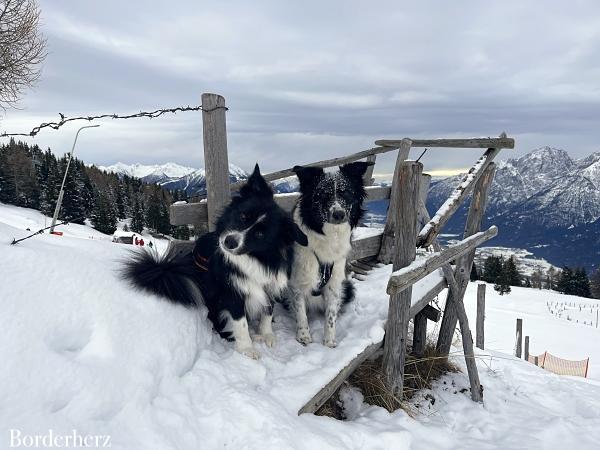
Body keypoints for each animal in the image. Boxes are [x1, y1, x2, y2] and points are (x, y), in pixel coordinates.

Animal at [290, 162, 370, 348]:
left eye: (346, 192)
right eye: (322, 194)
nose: (338, 214)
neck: (328, 235)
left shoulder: (335, 282)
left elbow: (331, 315)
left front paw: (329, 341)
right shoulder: (298, 281)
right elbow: (300, 311)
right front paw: (303, 336)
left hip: (347, 287)